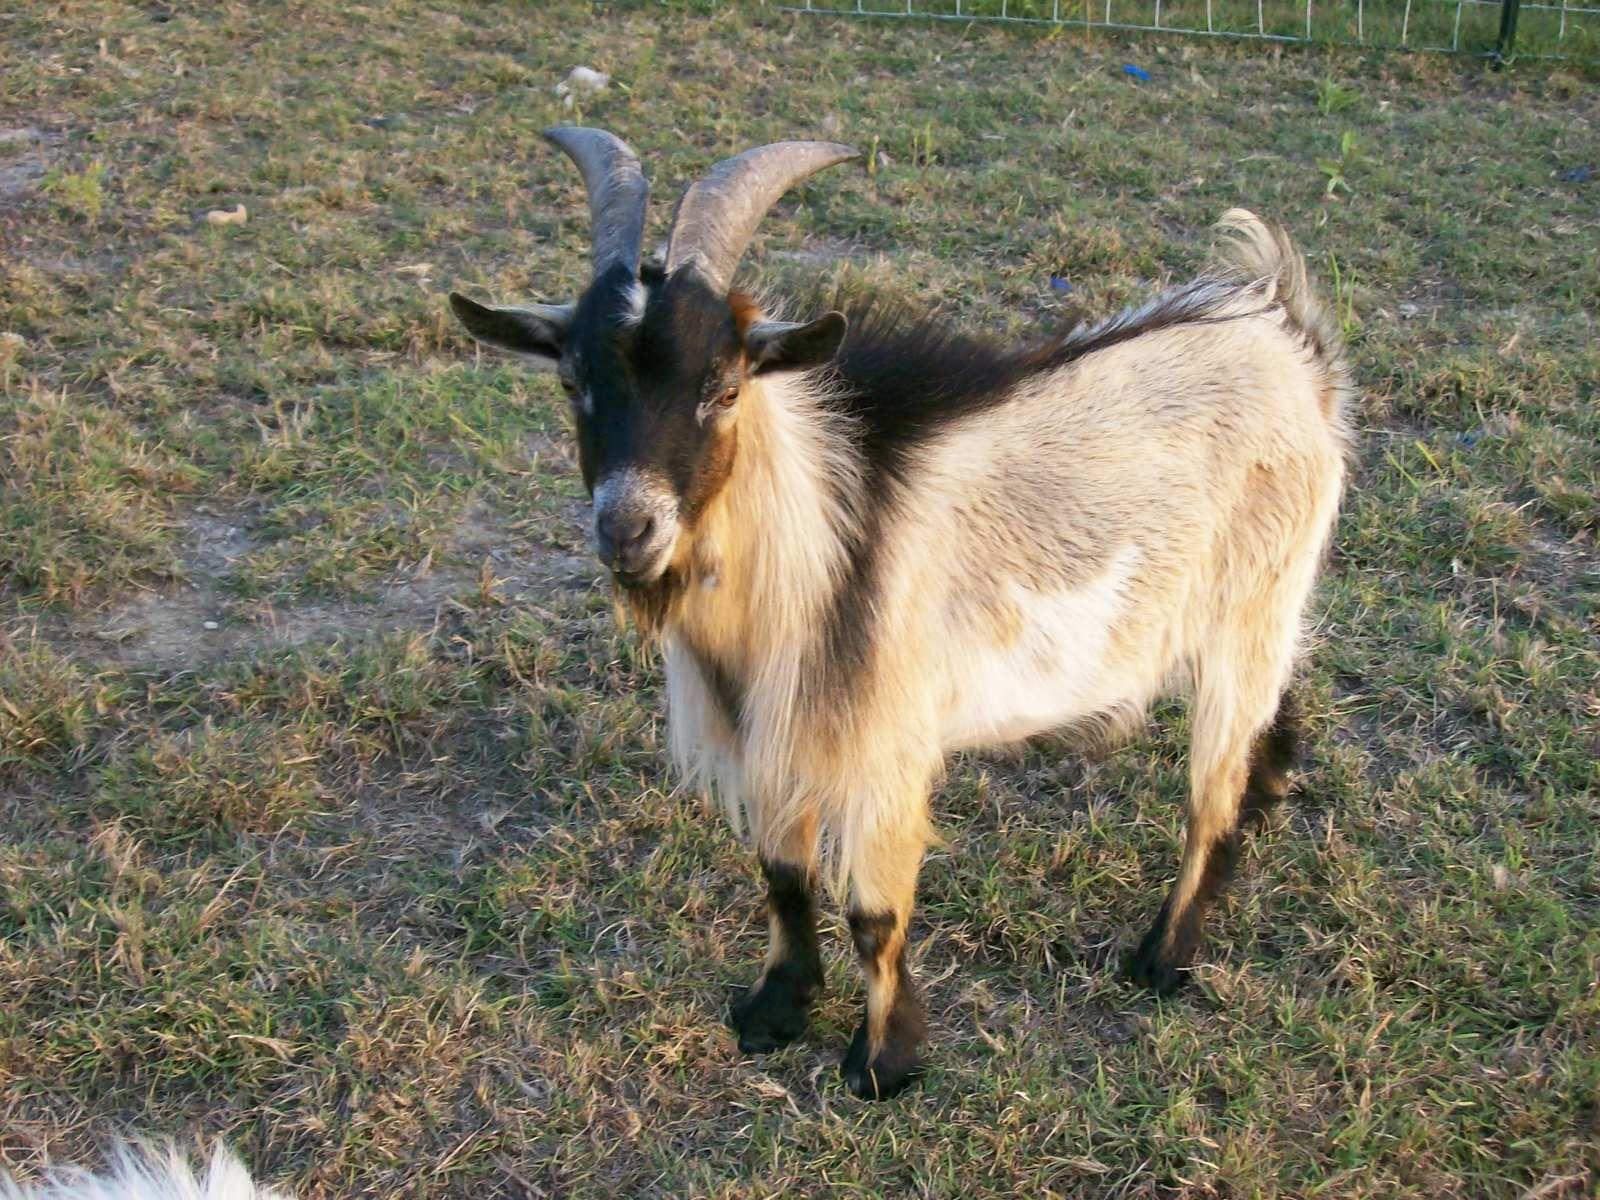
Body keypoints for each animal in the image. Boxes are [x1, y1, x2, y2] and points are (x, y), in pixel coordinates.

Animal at [449, 128, 1351, 1099]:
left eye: (724, 387)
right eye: (573, 381)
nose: (628, 528)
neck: (814, 538)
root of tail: (1286, 337)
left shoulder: (882, 743)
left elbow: (874, 914)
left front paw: (883, 1061)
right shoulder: (774, 731)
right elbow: (782, 874)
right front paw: (775, 1010)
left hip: (1247, 611)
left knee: (1210, 795)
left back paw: (1164, 958)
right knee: (1270, 724)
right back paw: (1264, 806)